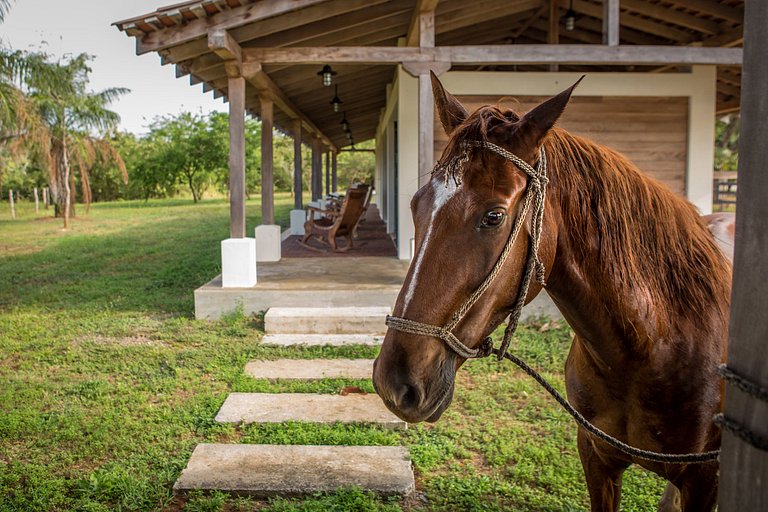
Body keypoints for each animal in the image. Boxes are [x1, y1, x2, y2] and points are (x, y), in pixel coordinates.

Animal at [372, 75, 732, 512]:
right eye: (415, 204)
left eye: (493, 216)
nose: (393, 383)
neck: (654, 345)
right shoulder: (594, 454)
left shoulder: (705, 477)